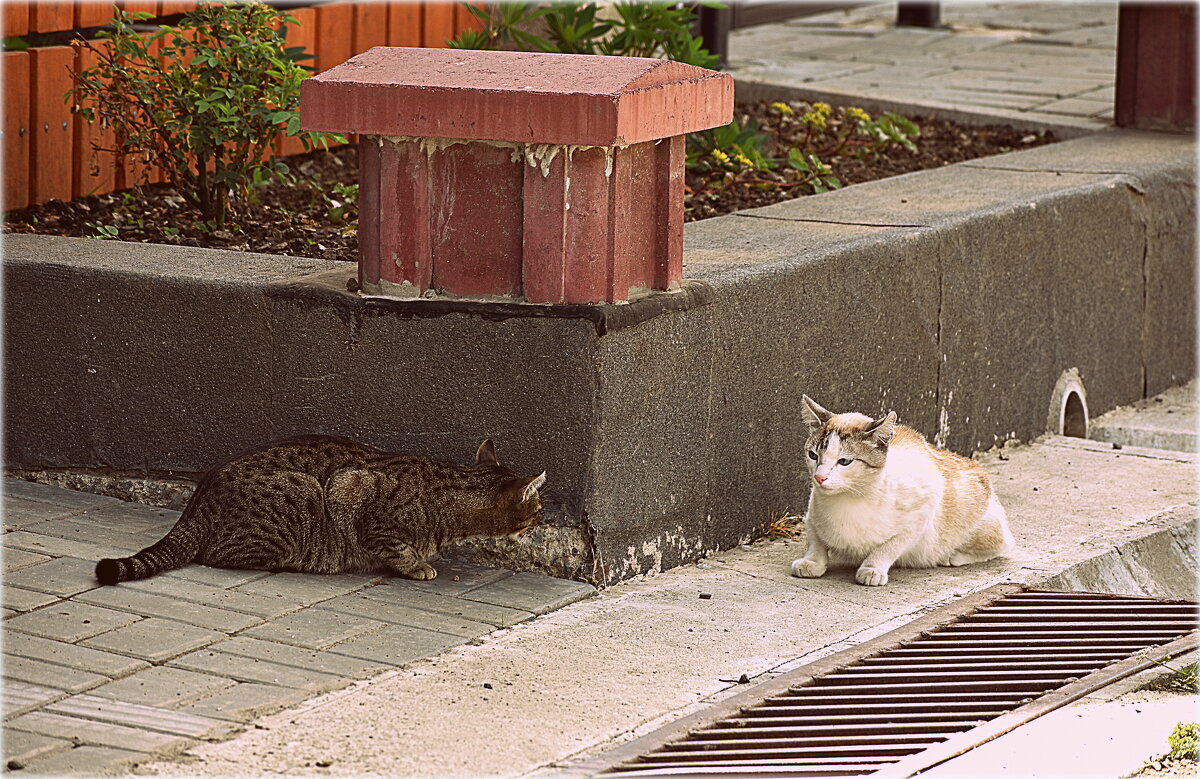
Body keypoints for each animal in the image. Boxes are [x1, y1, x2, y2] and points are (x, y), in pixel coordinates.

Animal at [93, 432, 544, 583]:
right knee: (221, 555)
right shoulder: (354, 491)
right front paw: (417, 565)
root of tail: (197, 502)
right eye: (538, 509)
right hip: (302, 492)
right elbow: (397, 550)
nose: (539, 524)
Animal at [792, 391, 1017, 585]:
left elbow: (891, 545)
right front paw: (812, 561)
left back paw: (953, 556)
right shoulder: (811, 511)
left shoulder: (923, 511)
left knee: (1004, 544)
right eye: (813, 455)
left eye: (845, 461)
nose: (819, 477)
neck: (848, 500)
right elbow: (815, 539)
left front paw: (872, 568)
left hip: (985, 525)